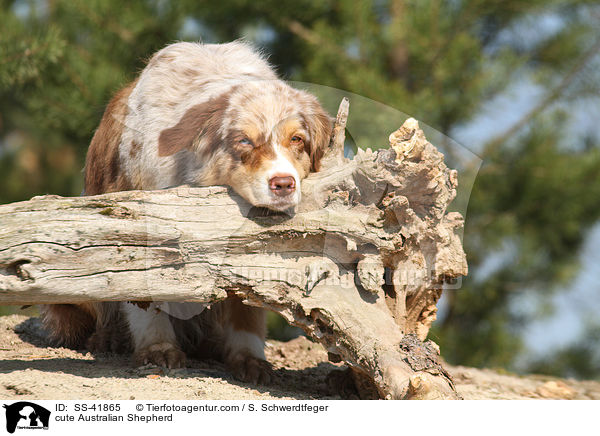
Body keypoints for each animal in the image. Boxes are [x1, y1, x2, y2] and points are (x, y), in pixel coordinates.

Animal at [41, 40, 332, 382]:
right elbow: (147, 295)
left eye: (297, 139)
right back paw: (109, 337)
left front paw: (250, 360)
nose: (284, 184)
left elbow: (246, 309)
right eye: (244, 141)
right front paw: (158, 349)